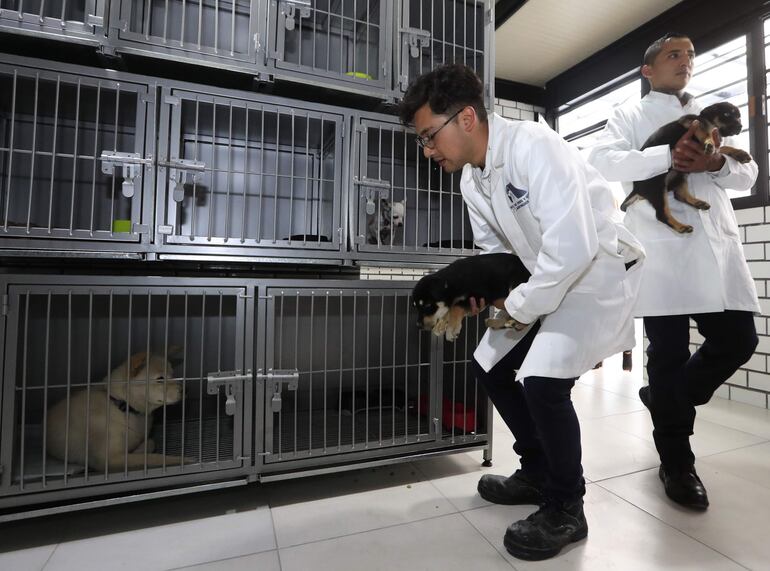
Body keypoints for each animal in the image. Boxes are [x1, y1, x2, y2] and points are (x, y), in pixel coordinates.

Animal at [45, 348, 195, 474]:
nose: (187, 389)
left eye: (173, 375)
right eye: (160, 379)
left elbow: (150, 443)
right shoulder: (108, 459)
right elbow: (152, 458)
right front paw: (182, 460)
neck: (123, 406)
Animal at [616, 103, 752, 235]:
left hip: (679, 175)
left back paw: (698, 203)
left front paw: (740, 154)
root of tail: (636, 189)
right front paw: (710, 143)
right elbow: (707, 135)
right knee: (661, 214)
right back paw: (681, 227)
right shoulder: (693, 123)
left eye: (739, 117)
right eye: (726, 114)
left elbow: (724, 148)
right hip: (657, 187)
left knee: (679, 195)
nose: (740, 126)